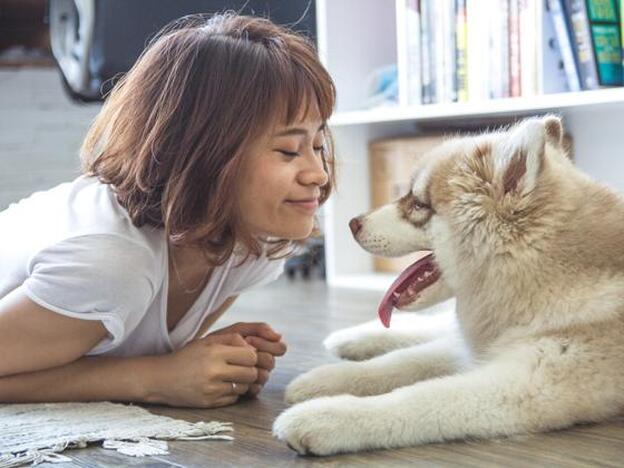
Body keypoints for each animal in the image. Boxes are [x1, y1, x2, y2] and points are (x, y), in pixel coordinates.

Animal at [272, 115, 624, 456]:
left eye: (418, 204)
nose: (352, 224)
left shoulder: (527, 384)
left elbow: (418, 398)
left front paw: (326, 417)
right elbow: (402, 361)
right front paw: (325, 379)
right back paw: (351, 338)